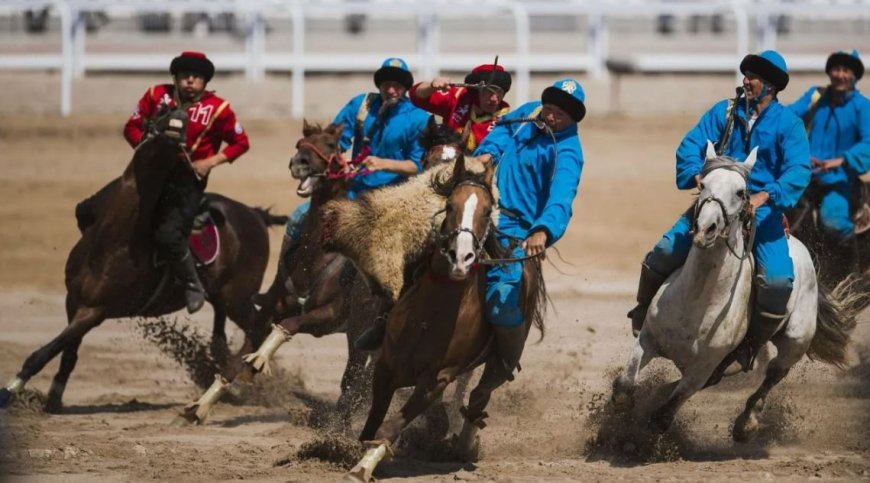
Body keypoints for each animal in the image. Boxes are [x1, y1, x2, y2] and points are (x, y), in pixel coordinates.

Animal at [0, 108, 280, 414]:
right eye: (160, 114)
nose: (177, 121)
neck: (114, 238)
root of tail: (254, 214)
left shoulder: (95, 311)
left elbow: (46, 351)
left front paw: (10, 391)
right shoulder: (73, 300)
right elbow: (68, 353)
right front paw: (53, 397)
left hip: (238, 298)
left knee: (258, 328)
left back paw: (237, 378)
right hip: (224, 297)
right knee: (223, 331)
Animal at [346, 156, 544, 483]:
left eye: (487, 211)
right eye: (450, 205)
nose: (460, 258)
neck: (430, 316)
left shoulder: (437, 379)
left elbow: (389, 428)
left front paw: (362, 467)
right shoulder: (385, 366)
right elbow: (373, 422)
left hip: (498, 363)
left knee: (478, 398)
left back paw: (464, 446)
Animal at [612, 143, 864, 442]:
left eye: (741, 192)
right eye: (702, 183)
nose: (705, 229)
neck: (697, 301)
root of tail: (799, 247)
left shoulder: (701, 370)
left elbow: (662, 416)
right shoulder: (648, 339)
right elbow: (625, 387)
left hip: (795, 340)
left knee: (775, 373)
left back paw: (747, 423)